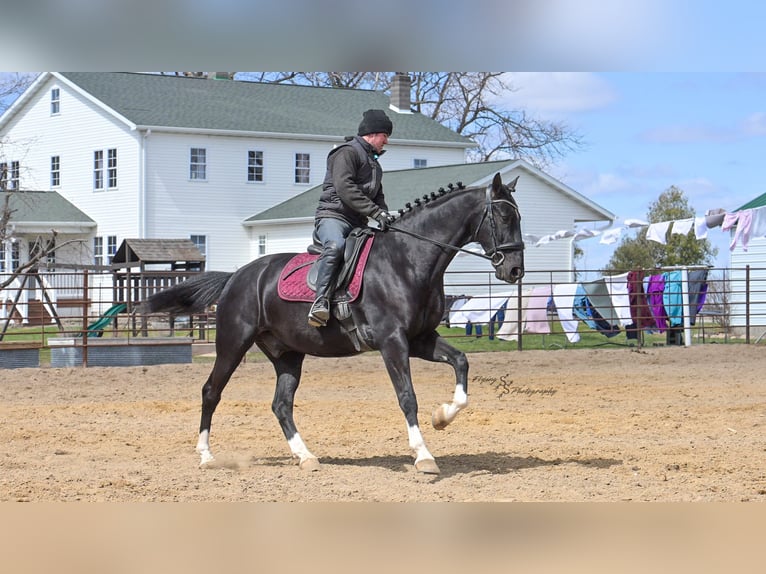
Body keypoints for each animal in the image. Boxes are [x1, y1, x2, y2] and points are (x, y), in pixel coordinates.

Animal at [142, 172, 524, 474]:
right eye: (504, 215)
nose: (515, 270)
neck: (407, 259)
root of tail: (236, 276)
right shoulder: (392, 342)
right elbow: (407, 397)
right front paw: (423, 456)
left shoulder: (420, 339)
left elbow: (461, 361)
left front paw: (443, 416)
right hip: (233, 344)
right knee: (211, 392)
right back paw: (206, 456)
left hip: (287, 354)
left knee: (281, 405)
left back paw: (306, 457)